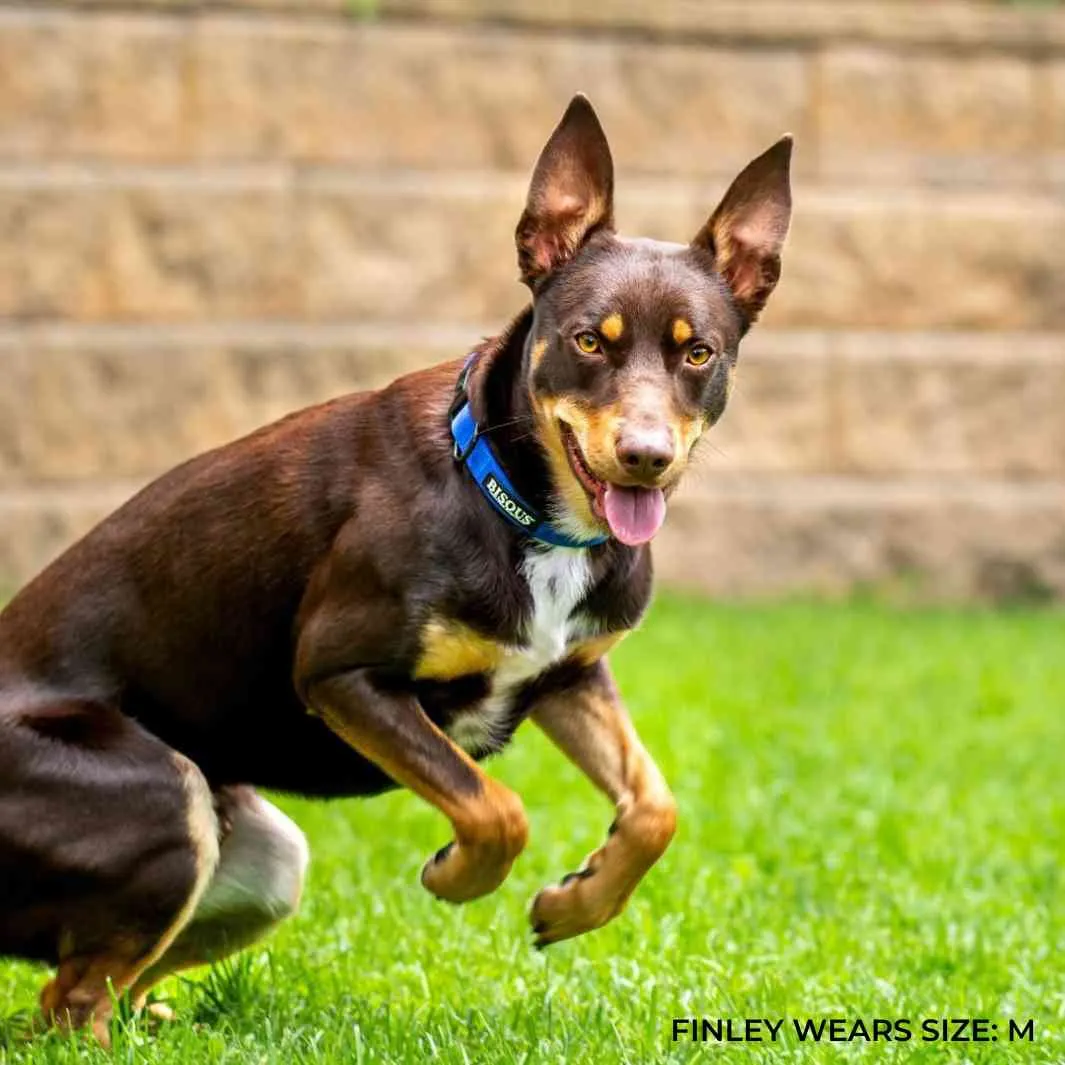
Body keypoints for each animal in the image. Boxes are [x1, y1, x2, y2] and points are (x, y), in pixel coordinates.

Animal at [0, 93, 788, 1039]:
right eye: (587, 343)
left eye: (696, 352)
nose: (644, 458)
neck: (509, 499)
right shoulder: (343, 674)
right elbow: (495, 806)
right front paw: (459, 874)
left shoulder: (567, 676)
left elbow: (654, 809)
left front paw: (574, 902)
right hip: (166, 796)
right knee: (70, 1002)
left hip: (263, 862)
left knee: (73, 987)